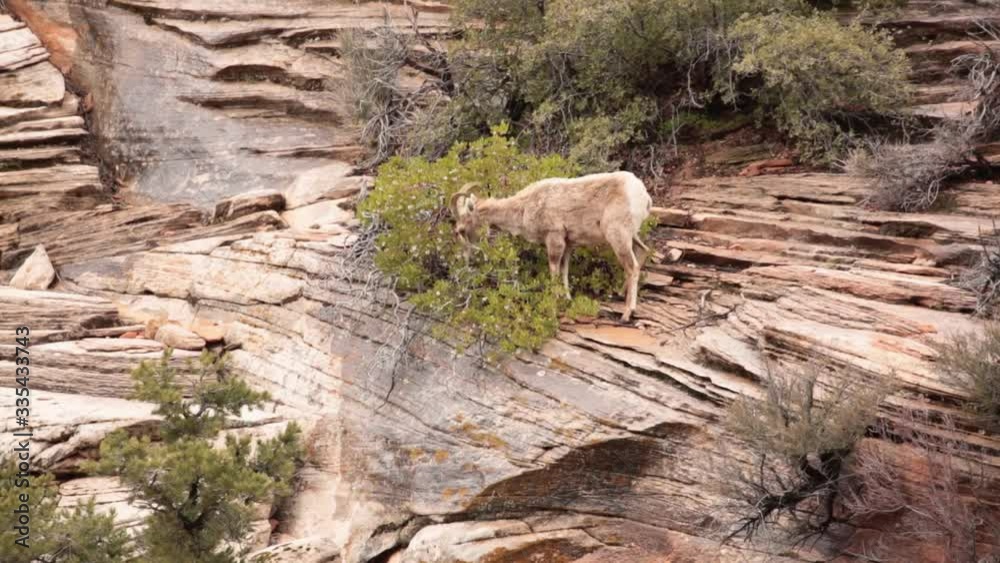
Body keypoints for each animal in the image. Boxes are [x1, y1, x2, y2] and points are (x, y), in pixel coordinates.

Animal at [451, 171, 654, 322]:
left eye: (462, 228)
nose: (467, 258)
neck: (525, 207)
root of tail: (643, 196)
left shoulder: (554, 239)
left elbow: (554, 270)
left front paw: (555, 302)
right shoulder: (568, 244)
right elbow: (564, 271)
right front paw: (567, 299)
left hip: (618, 236)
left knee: (632, 267)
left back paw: (627, 313)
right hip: (632, 236)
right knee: (643, 251)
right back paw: (618, 294)